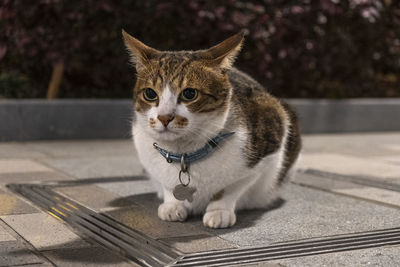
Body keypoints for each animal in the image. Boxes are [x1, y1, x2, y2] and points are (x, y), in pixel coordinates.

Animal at [122, 30, 300, 229]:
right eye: (150, 93)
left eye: (189, 93)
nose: (164, 117)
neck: (184, 153)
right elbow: (167, 185)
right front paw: (172, 204)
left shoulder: (269, 146)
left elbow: (231, 188)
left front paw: (219, 211)